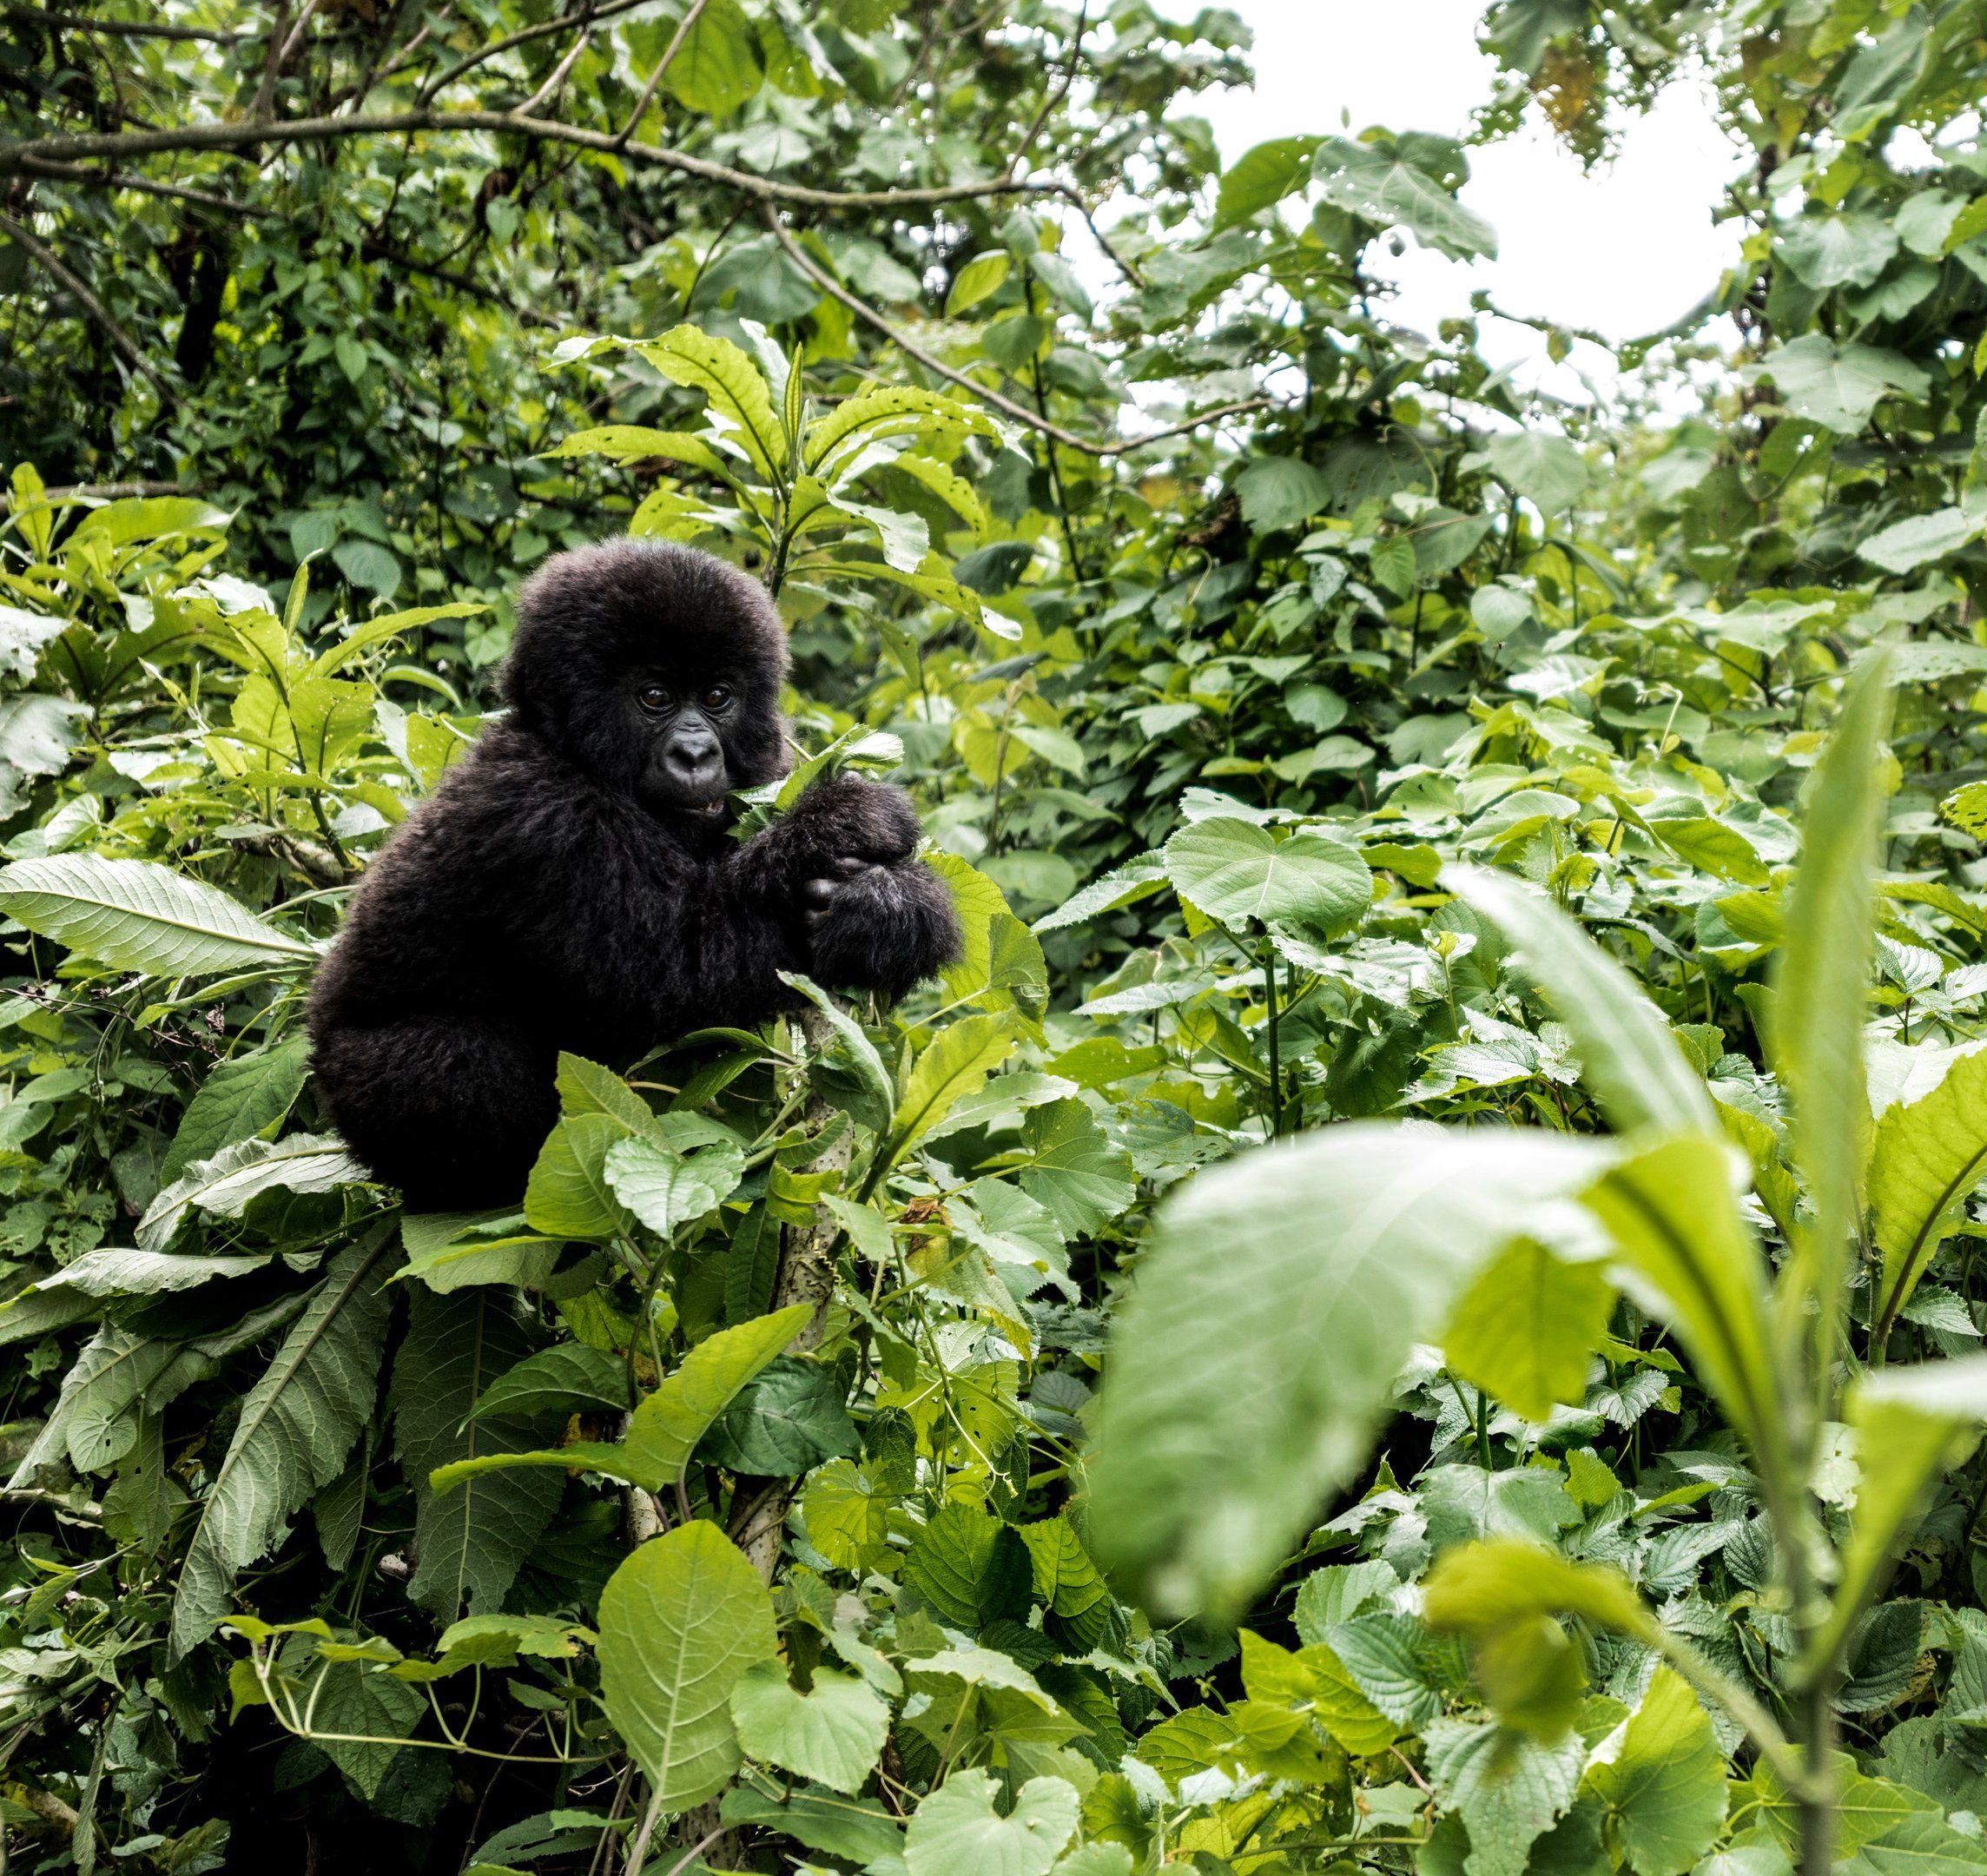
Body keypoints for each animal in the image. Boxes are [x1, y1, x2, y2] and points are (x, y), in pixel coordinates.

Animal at [305, 538, 961, 1212]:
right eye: (654, 698)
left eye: (718, 697)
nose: (696, 754)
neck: (566, 748)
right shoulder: (540, 819)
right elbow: (684, 963)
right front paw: (843, 831)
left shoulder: (772, 762)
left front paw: (895, 910)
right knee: (457, 1058)